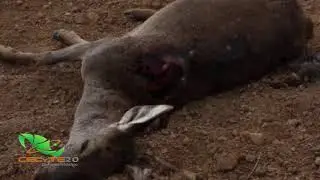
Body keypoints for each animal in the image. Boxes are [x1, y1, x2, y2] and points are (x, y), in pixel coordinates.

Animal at [0, 0, 316, 179]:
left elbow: (48, 55)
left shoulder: (97, 54)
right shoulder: (103, 49)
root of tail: (304, 18)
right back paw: (137, 11)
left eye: (101, 174)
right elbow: (50, 54)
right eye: (85, 145)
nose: (42, 175)